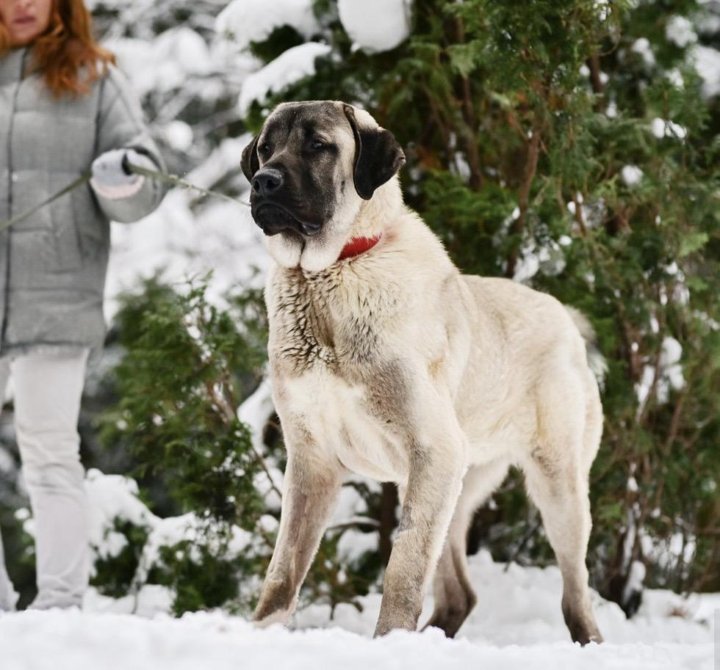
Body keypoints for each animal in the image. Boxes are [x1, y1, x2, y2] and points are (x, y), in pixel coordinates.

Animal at [240, 101, 600, 644]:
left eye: (318, 146)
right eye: (265, 149)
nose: (264, 181)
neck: (330, 275)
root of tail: (567, 319)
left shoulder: (431, 446)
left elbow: (403, 568)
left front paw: (388, 641)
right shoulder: (312, 458)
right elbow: (284, 569)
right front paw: (259, 632)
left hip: (554, 485)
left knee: (575, 596)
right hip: (453, 483)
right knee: (459, 595)